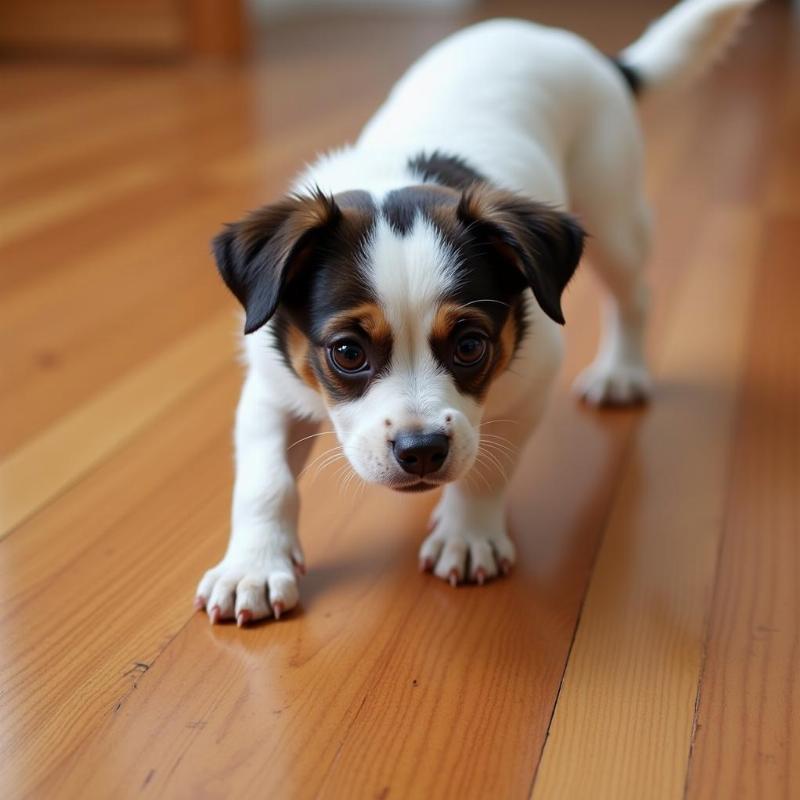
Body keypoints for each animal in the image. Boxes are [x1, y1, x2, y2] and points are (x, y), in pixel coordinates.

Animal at [197, 0, 760, 624]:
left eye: (470, 346)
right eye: (346, 352)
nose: (421, 451)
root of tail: (581, 51)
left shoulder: (532, 377)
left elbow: (489, 467)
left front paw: (468, 536)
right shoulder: (270, 387)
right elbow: (266, 482)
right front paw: (253, 566)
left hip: (611, 213)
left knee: (633, 293)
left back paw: (622, 372)